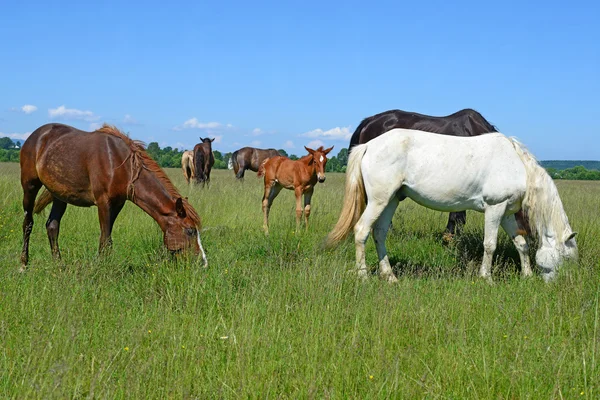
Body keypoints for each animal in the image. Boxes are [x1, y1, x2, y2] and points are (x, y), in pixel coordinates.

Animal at [19, 123, 207, 270]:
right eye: (190, 231)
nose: (202, 263)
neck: (120, 164)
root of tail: (36, 135)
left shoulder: (117, 204)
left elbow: (106, 237)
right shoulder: (103, 203)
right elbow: (105, 239)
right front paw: (101, 270)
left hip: (59, 195)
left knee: (52, 226)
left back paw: (59, 265)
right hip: (30, 186)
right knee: (28, 223)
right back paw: (23, 264)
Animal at [328, 128, 576, 282]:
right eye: (566, 257)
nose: (559, 284)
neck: (517, 166)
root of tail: (368, 145)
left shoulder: (505, 213)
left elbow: (521, 243)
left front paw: (527, 275)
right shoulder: (494, 208)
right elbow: (490, 245)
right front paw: (486, 278)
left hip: (391, 200)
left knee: (379, 233)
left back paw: (390, 277)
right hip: (379, 201)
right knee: (361, 231)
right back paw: (363, 276)